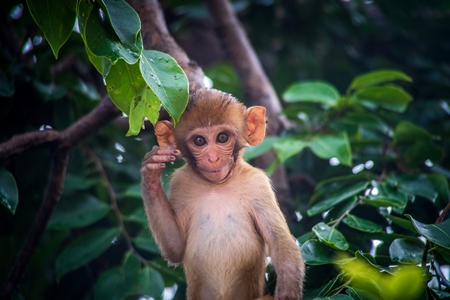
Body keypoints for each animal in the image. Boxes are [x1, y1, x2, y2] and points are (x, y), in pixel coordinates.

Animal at [141, 88, 304, 298]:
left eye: (222, 138)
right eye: (200, 141)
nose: (212, 158)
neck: (217, 186)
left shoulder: (258, 185)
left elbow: (281, 243)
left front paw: (286, 294)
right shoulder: (180, 182)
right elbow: (175, 248)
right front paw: (150, 173)